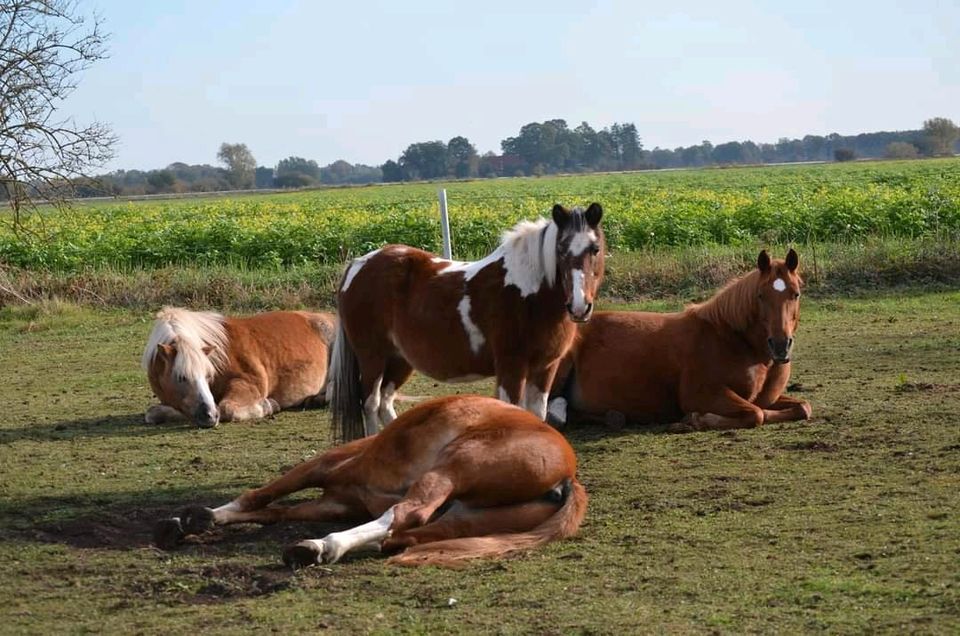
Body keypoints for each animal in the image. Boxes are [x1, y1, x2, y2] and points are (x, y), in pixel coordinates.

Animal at [141, 306, 338, 428]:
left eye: (207, 375)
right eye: (181, 378)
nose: (210, 415)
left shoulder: (248, 383)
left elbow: (227, 408)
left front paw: (268, 405)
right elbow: (152, 413)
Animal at [152, 396, 584, 568]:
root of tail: (567, 476)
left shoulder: (323, 466)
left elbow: (263, 495)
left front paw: (198, 517)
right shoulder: (333, 503)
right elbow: (276, 512)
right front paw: (194, 521)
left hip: (452, 467)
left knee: (405, 513)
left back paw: (321, 546)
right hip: (466, 517)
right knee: (408, 531)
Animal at [328, 201, 600, 440]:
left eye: (595, 249)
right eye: (561, 249)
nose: (579, 306)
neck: (530, 292)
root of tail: (358, 265)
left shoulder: (545, 368)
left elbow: (537, 416)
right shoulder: (511, 367)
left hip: (400, 360)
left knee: (386, 402)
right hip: (372, 357)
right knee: (371, 404)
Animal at [548, 248, 808, 432]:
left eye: (795, 294)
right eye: (761, 295)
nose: (781, 346)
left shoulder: (769, 398)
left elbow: (802, 407)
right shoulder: (702, 394)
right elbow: (756, 413)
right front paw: (695, 419)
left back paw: (614, 417)